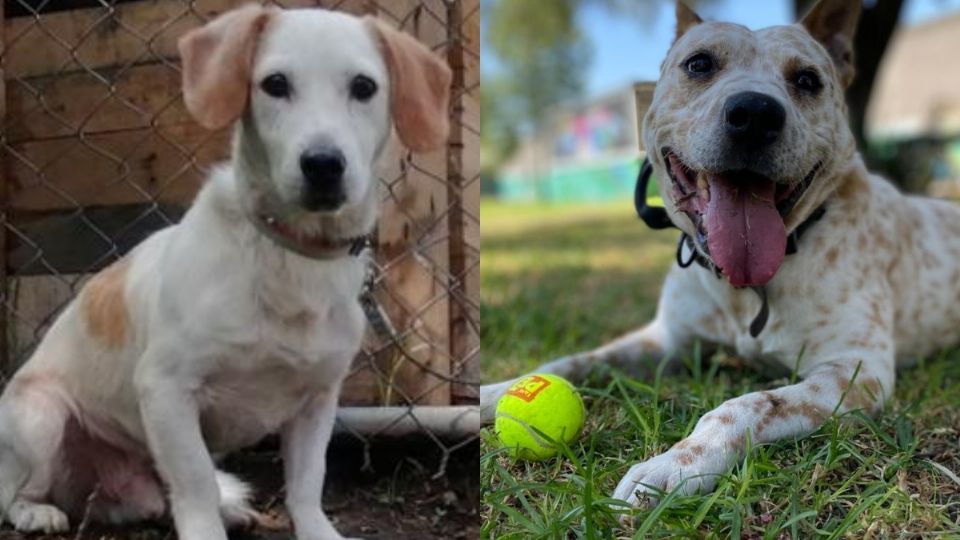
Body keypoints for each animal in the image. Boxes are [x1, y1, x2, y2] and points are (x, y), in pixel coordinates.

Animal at [0, 5, 452, 540]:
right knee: (15, 492)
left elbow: (307, 483)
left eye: (364, 87)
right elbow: (196, 482)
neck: (291, 257)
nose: (323, 164)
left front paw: (315, 529)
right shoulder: (166, 388)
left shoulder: (318, 400)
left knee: (167, 494)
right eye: (275, 84)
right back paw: (36, 512)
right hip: (41, 418)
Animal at [484, 0, 960, 510]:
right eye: (699, 64)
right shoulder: (665, 340)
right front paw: (492, 391)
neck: (747, 289)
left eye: (808, 79)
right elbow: (571, 362)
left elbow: (750, 403)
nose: (755, 113)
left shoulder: (856, 369)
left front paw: (675, 464)